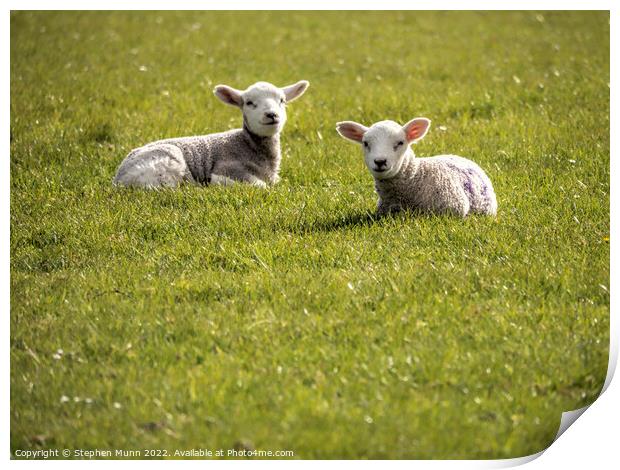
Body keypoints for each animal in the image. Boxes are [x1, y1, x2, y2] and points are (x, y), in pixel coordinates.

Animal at [112, 81, 310, 189]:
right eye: (249, 103)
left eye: (282, 100)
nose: (272, 115)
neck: (248, 145)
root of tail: (119, 179)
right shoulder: (227, 168)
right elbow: (261, 186)